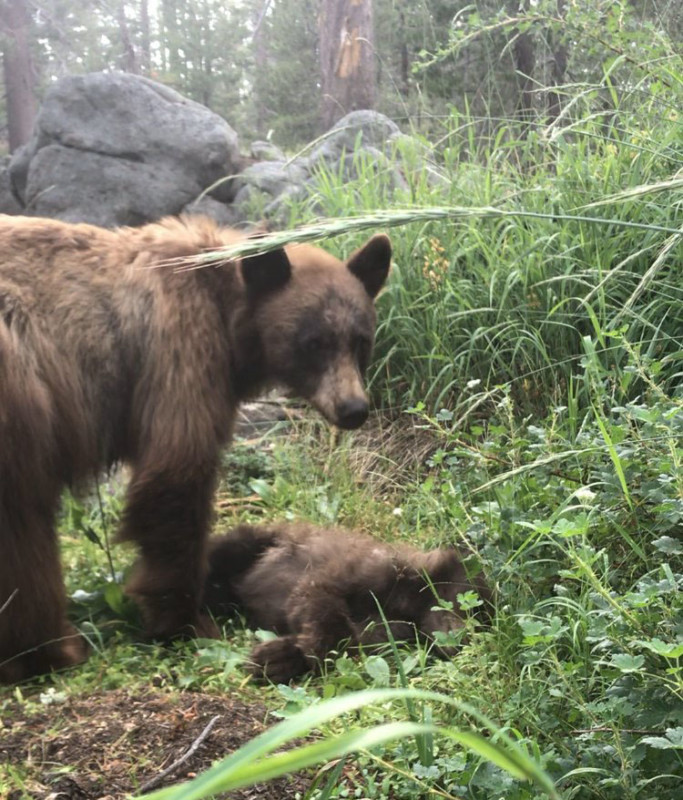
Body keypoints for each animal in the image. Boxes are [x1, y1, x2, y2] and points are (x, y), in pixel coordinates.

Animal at [0, 212, 390, 680]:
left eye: (361, 340)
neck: (227, 308)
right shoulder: (179, 349)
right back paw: (50, 649)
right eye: (313, 342)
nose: (353, 409)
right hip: (21, 393)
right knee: (23, 525)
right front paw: (186, 621)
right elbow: (175, 477)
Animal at [200, 520, 494, 684]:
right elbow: (319, 600)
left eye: (483, 622)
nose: (464, 640)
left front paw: (276, 660)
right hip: (253, 543)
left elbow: (351, 643)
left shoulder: (386, 631)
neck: (409, 603)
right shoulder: (357, 572)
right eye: (471, 606)